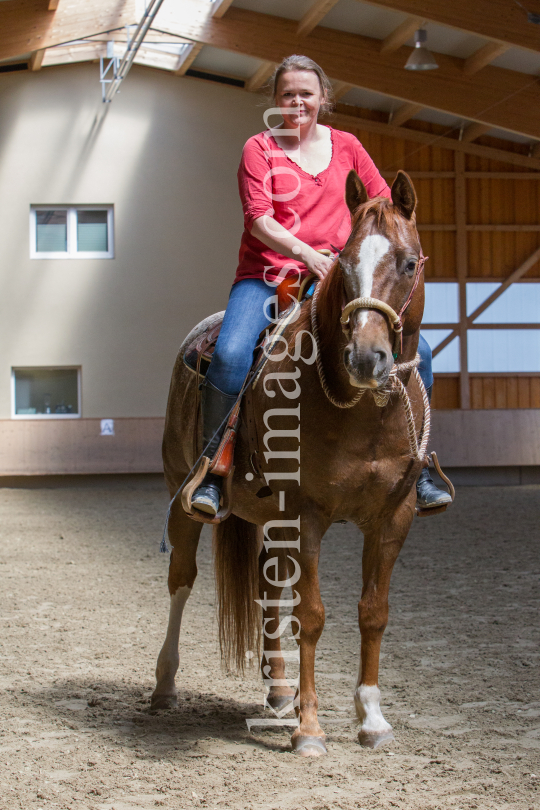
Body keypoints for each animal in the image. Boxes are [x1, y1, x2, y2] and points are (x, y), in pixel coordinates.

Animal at [153, 172, 430, 756]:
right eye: (344, 263)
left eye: (407, 263)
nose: (367, 358)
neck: (360, 413)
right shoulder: (307, 515)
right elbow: (313, 615)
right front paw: (310, 729)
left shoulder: (394, 518)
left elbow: (373, 612)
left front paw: (372, 718)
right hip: (183, 499)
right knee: (182, 579)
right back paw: (165, 686)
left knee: (269, 589)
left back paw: (279, 692)